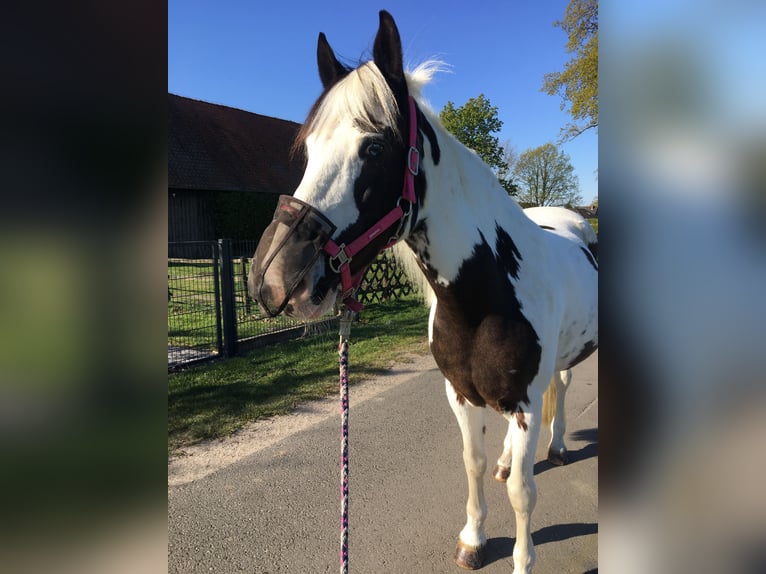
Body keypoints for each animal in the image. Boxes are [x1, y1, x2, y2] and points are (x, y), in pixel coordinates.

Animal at [249, 11, 596, 572]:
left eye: (373, 147)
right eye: (308, 150)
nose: (271, 279)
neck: (485, 297)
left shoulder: (525, 401)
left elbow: (523, 494)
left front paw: (522, 558)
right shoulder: (461, 394)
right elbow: (473, 462)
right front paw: (473, 538)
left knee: (562, 389)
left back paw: (561, 444)